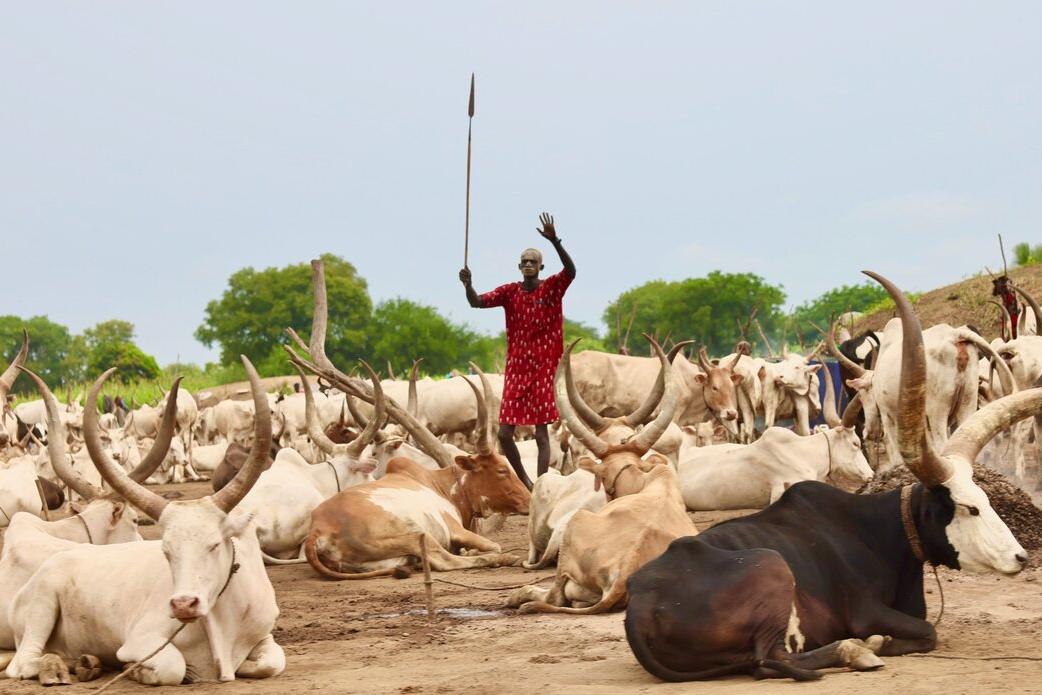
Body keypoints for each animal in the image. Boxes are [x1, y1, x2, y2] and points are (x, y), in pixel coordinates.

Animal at [4, 357, 284, 686]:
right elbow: (173, 667)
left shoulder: (264, 636)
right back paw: (60, 667)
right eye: (166, 550)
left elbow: (272, 662)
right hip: (41, 606)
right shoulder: (141, 640)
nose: (183, 604)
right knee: (23, 663)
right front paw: (137, 669)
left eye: (214, 545)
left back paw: (86, 662)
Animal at [623, 271, 1029, 682]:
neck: (881, 531)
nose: (1020, 557)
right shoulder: (865, 613)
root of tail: (638, 607)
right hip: (771, 565)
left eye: (988, 501)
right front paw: (876, 643)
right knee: (771, 660)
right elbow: (926, 631)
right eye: (968, 508)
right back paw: (856, 651)